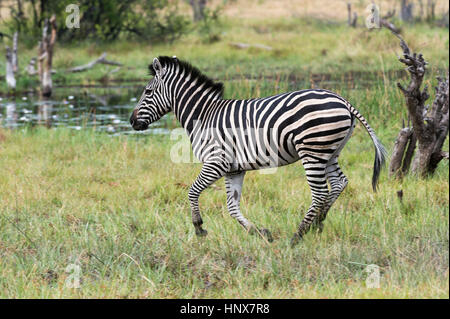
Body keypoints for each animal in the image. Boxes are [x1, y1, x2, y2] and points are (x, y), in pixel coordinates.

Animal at [130, 56, 386, 246]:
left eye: (147, 92)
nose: (131, 121)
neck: (204, 115)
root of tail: (342, 99)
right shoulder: (233, 169)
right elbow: (232, 207)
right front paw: (259, 232)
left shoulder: (216, 162)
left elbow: (192, 191)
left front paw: (199, 227)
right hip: (330, 152)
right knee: (339, 183)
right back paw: (318, 223)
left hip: (312, 151)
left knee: (320, 192)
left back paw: (298, 235)